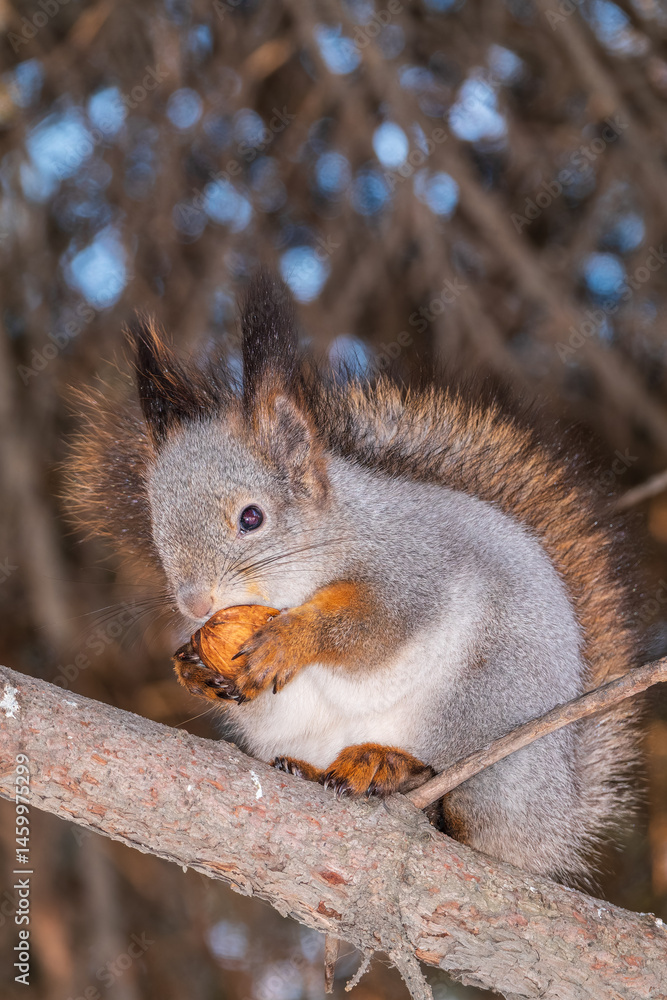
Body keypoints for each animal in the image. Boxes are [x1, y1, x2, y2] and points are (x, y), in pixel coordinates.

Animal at [68, 270, 640, 884]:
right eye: (157, 527)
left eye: (252, 517)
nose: (196, 605)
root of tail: (551, 823)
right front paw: (193, 666)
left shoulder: (411, 568)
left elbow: (376, 627)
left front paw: (293, 639)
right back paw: (314, 770)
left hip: (485, 703)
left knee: (460, 810)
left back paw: (394, 767)